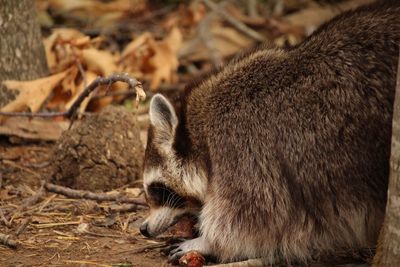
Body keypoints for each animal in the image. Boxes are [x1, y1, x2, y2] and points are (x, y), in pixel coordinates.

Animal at [139, 1, 398, 266]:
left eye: (157, 189)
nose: (143, 229)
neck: (199, 132)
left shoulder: (244, 149)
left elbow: (252, 216)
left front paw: (207, 241)